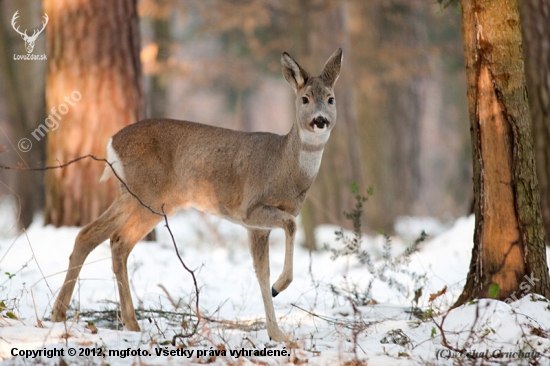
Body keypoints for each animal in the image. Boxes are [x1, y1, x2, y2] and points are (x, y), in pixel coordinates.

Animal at [52, 48, 344, 340]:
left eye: (331, 98)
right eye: (305, 98)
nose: (320, 120)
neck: (285, 167)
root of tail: (111, 144)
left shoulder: (257, 227)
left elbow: (261, 273)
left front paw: (277, 333)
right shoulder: (250, 209)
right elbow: (291, 227)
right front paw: (280, 288)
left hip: (140, 197)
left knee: (99, 237)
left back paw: (75, 316)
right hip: (146, 194)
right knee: (112, 239)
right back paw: (112, 320)